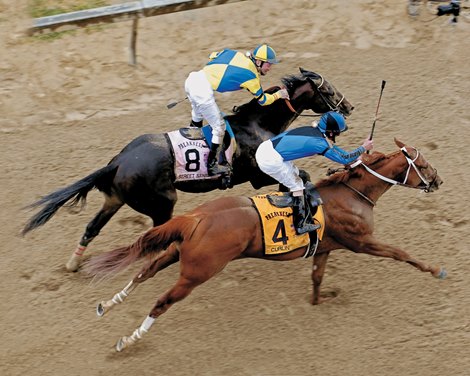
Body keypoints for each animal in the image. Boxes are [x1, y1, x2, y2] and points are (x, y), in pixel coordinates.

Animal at [86, 139, 446, 352]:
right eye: (422, 164)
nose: (438, 180)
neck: (351, 194)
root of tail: (195, 218)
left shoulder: (326, 248)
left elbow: (317, 276)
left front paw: (318, 300)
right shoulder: (361, 242)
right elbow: (400, 253)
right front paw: (434, 270)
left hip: (179, 253)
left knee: (145, 271)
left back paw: (108, 303)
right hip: (198, 272)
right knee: (161, 302)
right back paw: (128, 339)